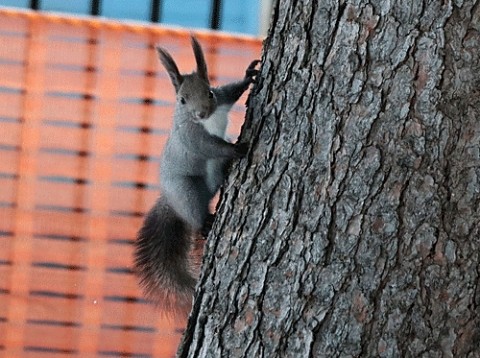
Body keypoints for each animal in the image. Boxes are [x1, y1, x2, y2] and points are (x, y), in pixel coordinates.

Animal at [133, 35, 258, 316]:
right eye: (181, 100)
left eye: (208, 92)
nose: (201, 113)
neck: (205, 120)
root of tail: (172, 201)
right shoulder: (192, 137)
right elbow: (209, 146)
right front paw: (235, 147)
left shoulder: (222, 98)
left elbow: (232, 91)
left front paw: (249, 75)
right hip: (186, 191)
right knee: (196, 212)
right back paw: (205, 222)